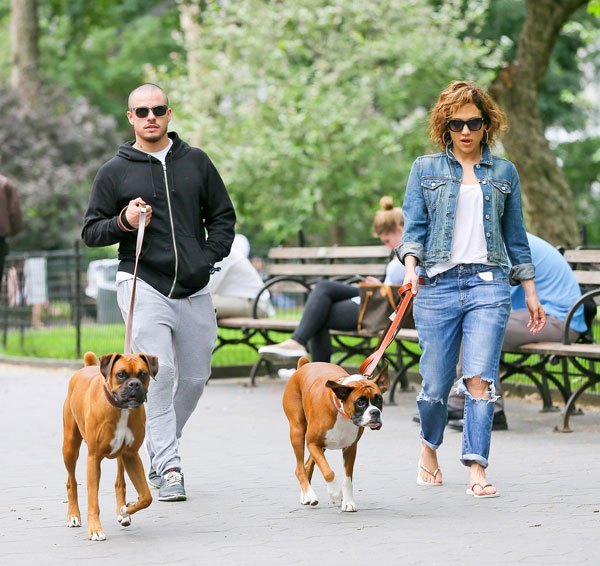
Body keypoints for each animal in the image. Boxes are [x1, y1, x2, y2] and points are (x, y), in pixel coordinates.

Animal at [62, 352, 158, 544]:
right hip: (69, 447)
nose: (134, 384)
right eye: (121, 374)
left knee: (120, 483)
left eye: (143, 374)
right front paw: (95, 530)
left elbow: (146, 497)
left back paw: (123, 512)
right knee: (71, 482)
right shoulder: (93, 459)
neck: (122, 409)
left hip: (122, 457)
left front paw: (126, 509)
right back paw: (73, 516)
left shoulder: (131, 455)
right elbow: (93, 501)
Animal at [282, 360, 390, 516]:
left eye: (379, 400)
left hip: (321, 446)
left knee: (307, 466)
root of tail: (304, 365)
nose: (375, 412)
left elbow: (347, 479)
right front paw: (336, 494)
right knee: (300, 468)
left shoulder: (350, 448)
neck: (341, 410)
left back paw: (305, 494)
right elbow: (328, 472)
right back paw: (309, 495)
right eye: (360, 402)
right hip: (298, 432)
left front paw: (348, 502)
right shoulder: (313, 443)